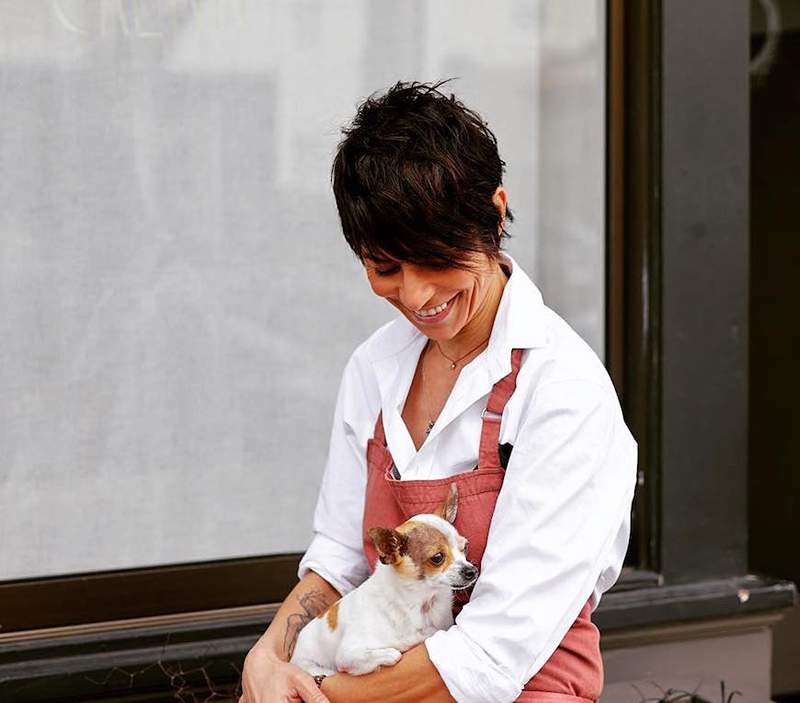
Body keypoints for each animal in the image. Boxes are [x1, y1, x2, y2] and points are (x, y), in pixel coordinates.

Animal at [290, 484, 476, 676]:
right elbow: (393, 653)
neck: (421, 603)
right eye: (437, 558)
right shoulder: (348, 655)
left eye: (465, 547)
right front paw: (406, 642)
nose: (472, 571)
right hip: (313, 666)